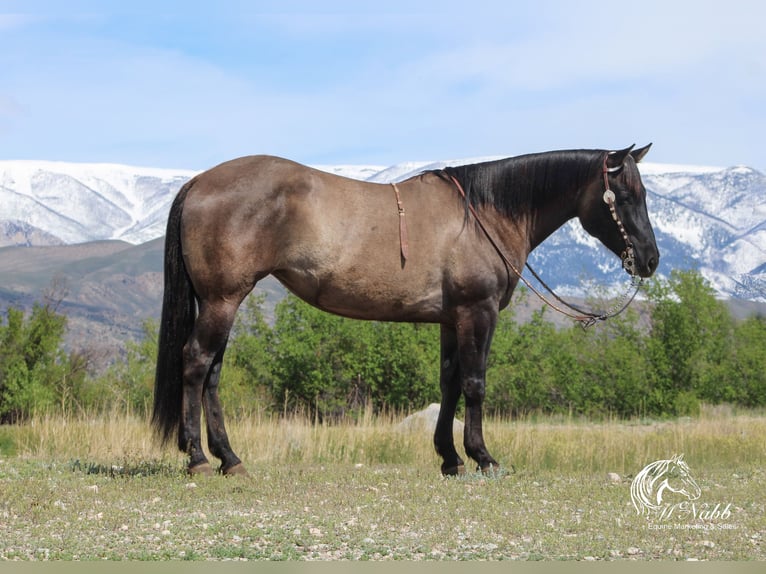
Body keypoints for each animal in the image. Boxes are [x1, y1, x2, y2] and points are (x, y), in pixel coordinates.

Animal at [154, 144, 660, 476]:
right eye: (625, 196)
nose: (651, 260)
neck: (484, 213)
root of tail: (198, 181)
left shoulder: (452, 319)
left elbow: (450, 382)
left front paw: (450, 458)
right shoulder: (479, 312)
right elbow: (475, 384)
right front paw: (483, 457)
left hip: (222, 302)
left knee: (212, 373)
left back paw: (229, 458)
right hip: (222, 301)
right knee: (196, 363)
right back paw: (199, 458)